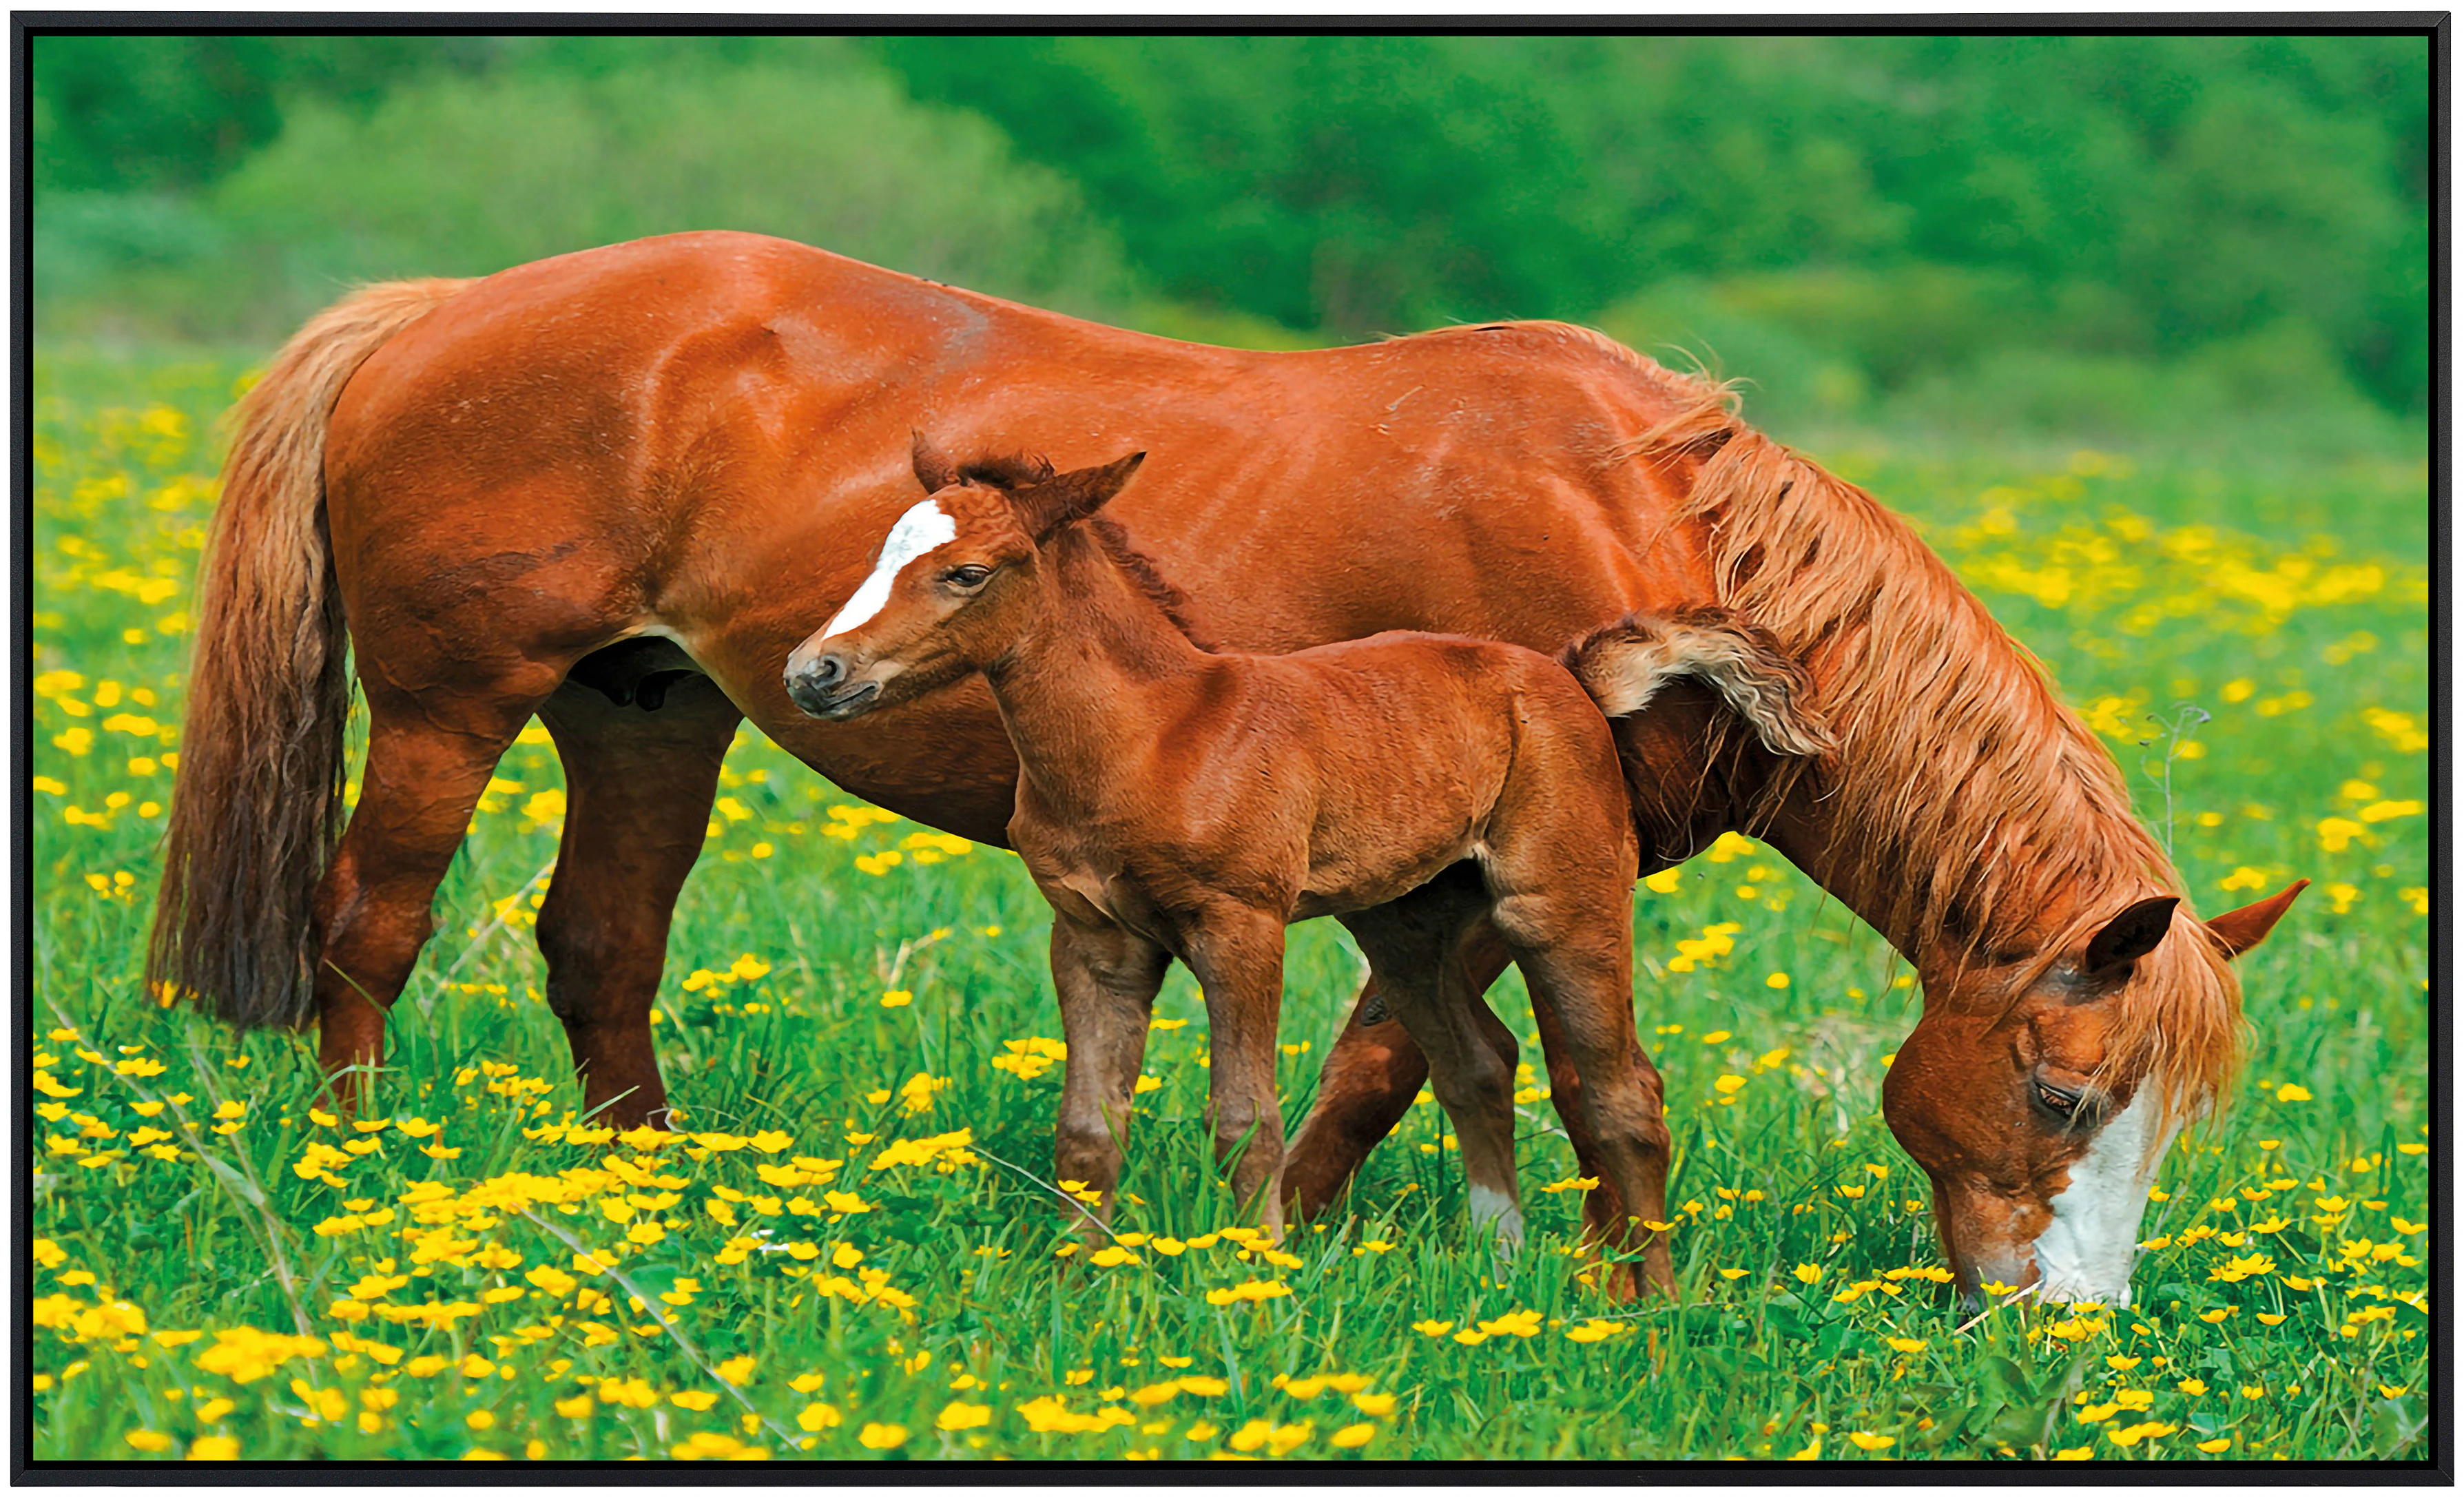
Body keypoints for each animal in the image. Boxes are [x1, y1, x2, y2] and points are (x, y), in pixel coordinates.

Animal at [783, 436, 1833, 1292]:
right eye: (881, 553)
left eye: (966, 571)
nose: (814, 673)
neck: (1151, 735)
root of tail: (1570, 678)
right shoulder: (1091, 935)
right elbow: (1086, 1126)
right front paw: (1075, 1285)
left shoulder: (1238, 922)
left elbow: (1245, 1118)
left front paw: (1256, 1281)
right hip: (1407, 921)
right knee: (1477, 1063)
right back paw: (1499, 1268)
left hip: (1558, 900)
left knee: (1623, 1092)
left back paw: (1651, 1302)